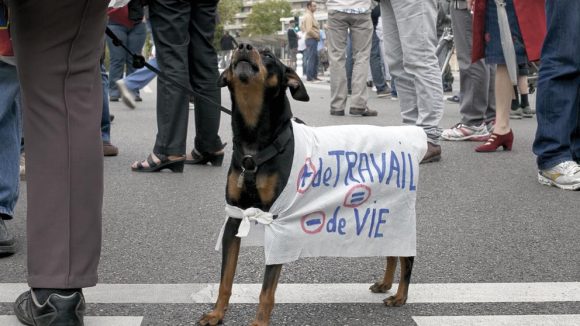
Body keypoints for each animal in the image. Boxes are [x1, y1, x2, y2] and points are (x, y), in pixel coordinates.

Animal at [199, 44, 412, 326]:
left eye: (269, 55)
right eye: (235, 49)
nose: (243, 47)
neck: (254, 143)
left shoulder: (277, 222)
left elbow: (266, 290)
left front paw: (259, 322)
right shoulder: (235, 218)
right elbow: (226, 278)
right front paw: (216, 314)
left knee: (407, 257)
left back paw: (400, 295)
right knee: (392, 249)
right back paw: (386, 284)